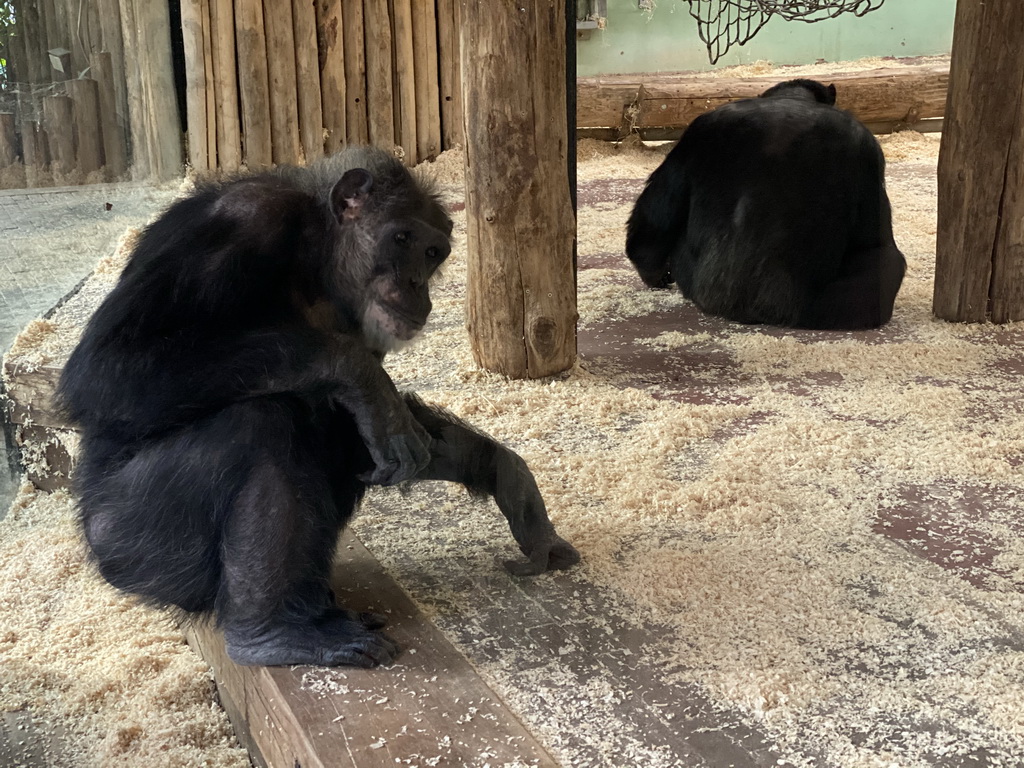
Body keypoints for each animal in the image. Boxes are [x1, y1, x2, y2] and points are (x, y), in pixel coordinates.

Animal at [59, 147, 581, 671]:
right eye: (402, 238)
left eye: (433, 253)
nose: (416, 282)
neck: (317, 257)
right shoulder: (242, 219)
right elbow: (105, 371)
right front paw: (360, 374)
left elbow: (373, 433)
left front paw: (508, 478)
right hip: (132, 543)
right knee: (261, 421)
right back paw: (270, 632)